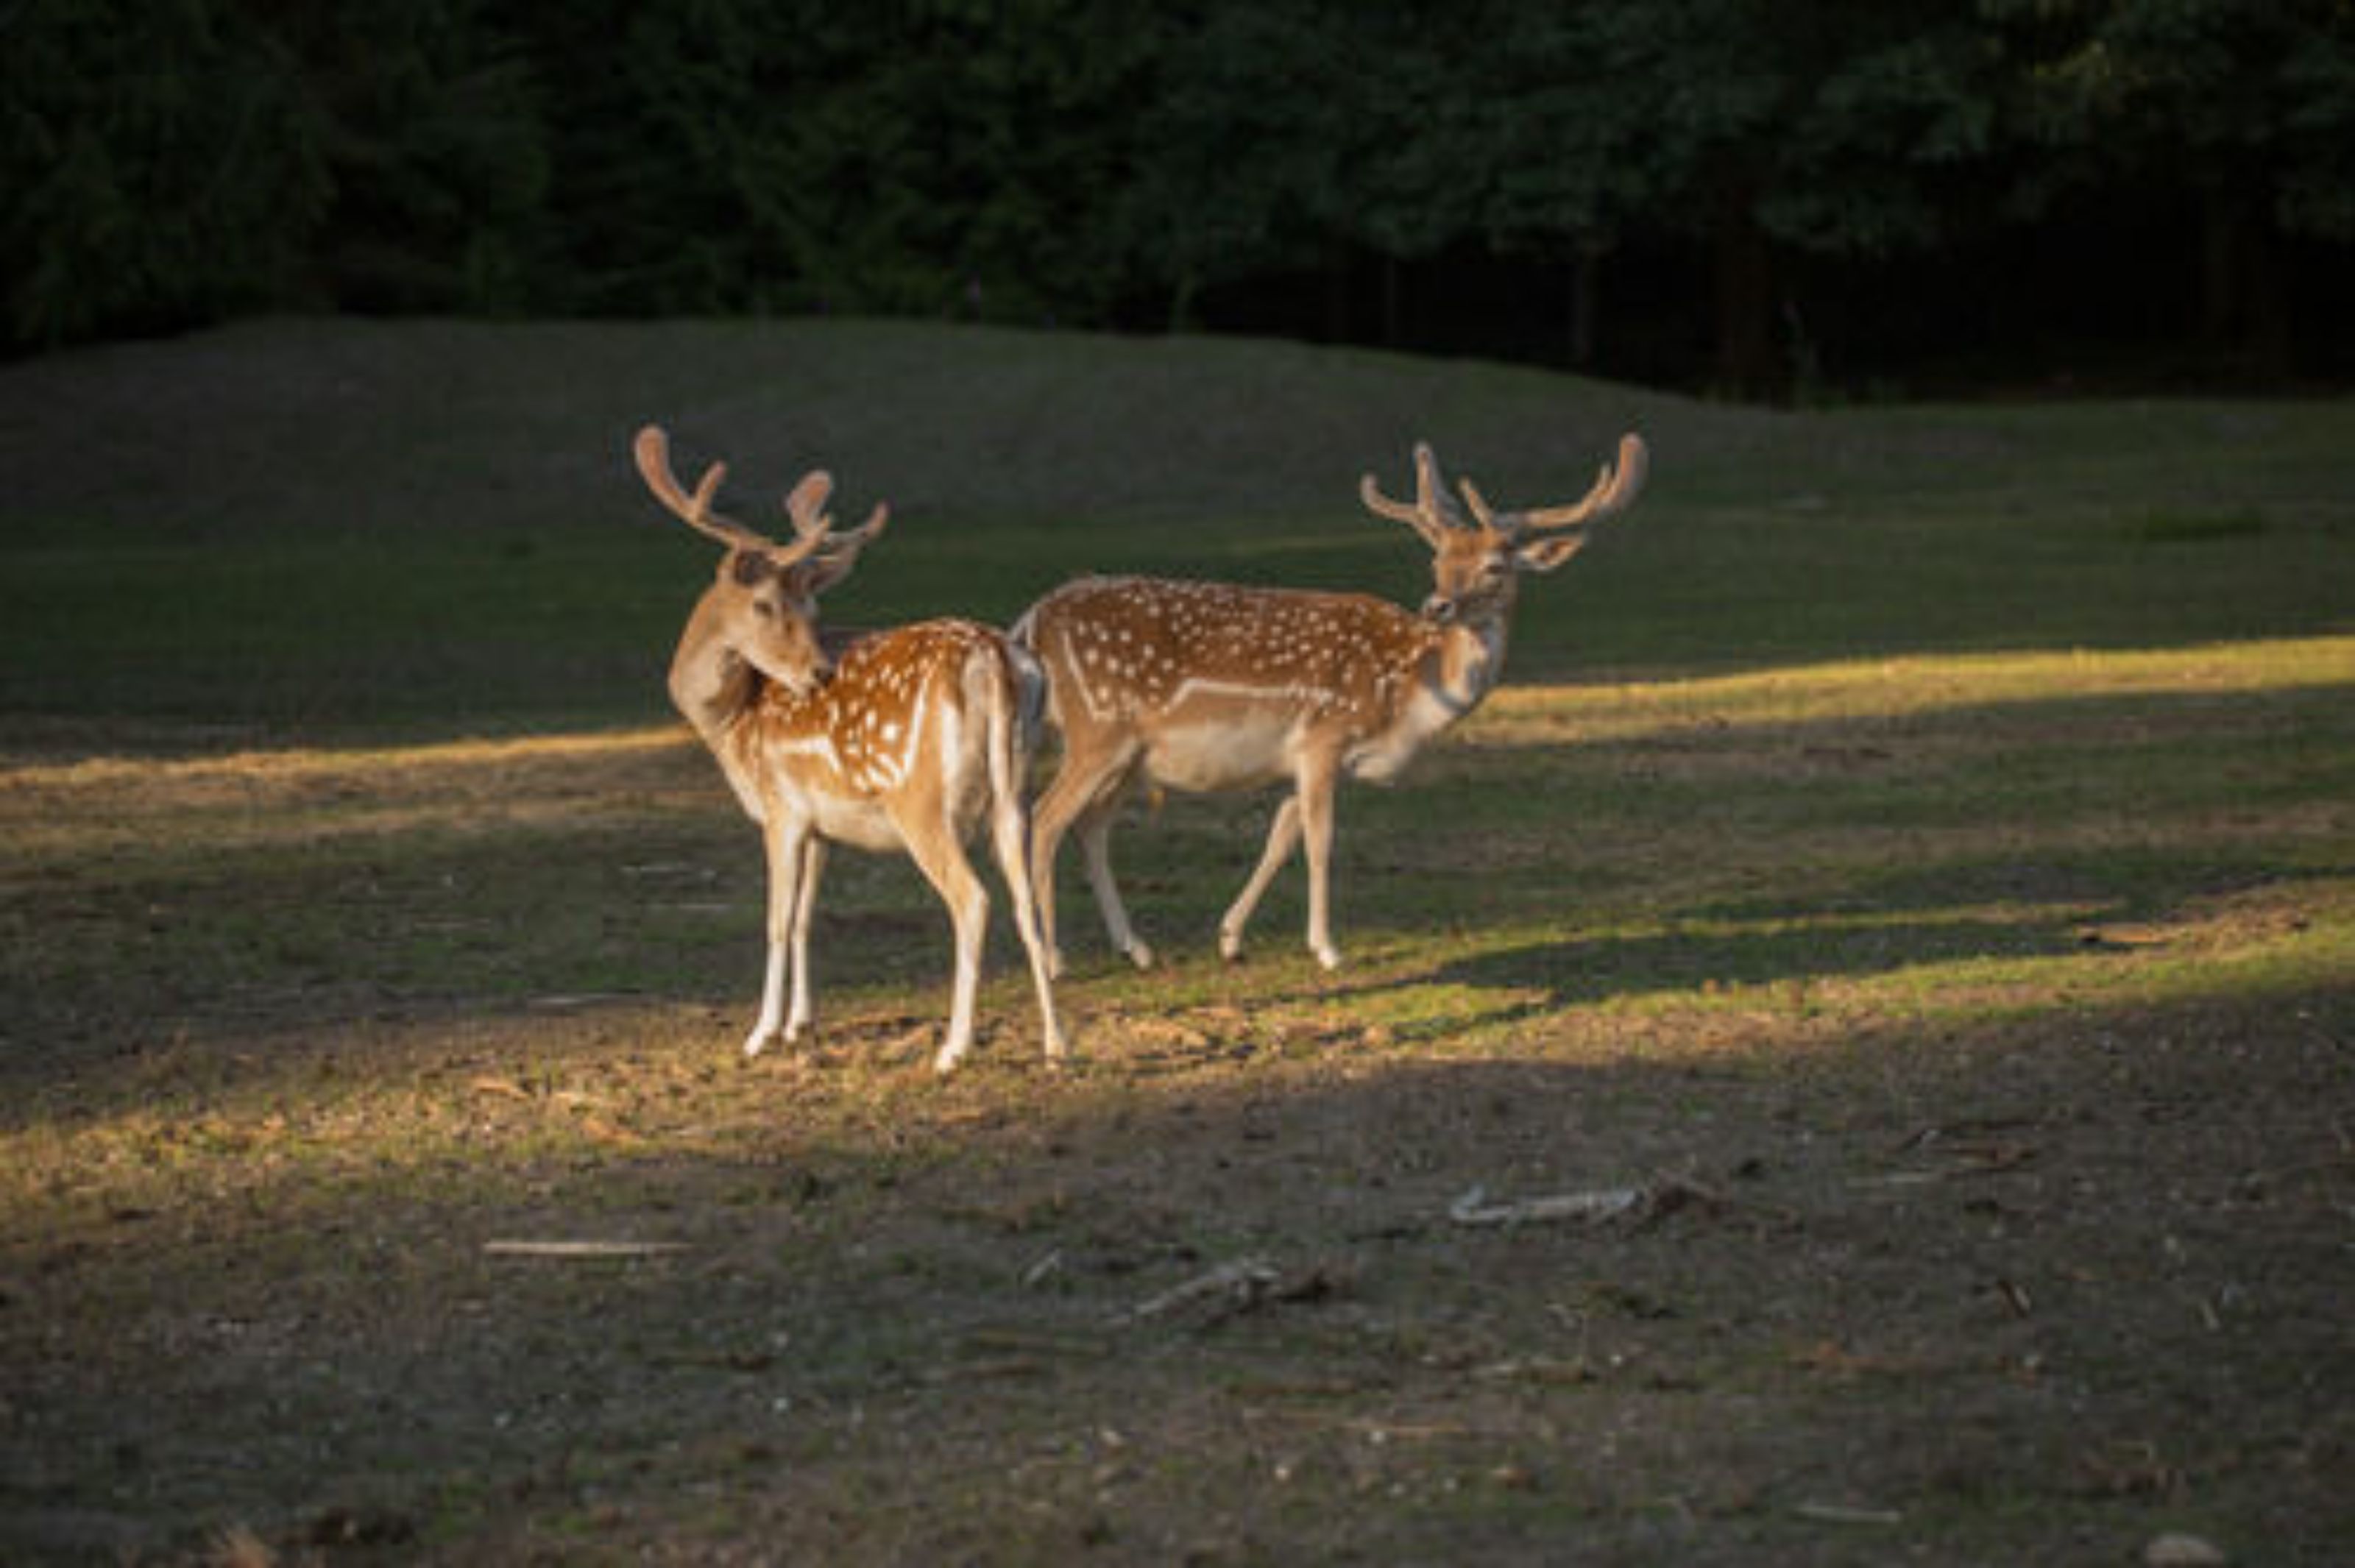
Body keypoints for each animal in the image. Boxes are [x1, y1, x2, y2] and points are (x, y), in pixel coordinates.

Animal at [635, 425, 1065, 1074]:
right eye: (766, 604)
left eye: (811, 606)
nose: (817, 671)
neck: (730, 723)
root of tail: (995, 657)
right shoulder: (821, 824)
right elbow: (806, 918)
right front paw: (799, 1025)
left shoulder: (781, 806)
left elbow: (776, 921)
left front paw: (761, 1034)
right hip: (1014, 790)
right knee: (1026, 893)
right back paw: (1057, 1043)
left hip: (921, 798)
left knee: (972, 899)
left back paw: (953, 1048)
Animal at [1012, 433, 1647, 975]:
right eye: (1437, 559)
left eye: (1495, 566)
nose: (1437, 605)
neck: (1408, 695)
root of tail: (1031, 622)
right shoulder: (1325, 733)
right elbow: (1321, 839)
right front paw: (1327, 948)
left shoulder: (1305, 757)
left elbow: (1282, 834)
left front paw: (1231, 938)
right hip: (1096, 731)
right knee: (1044, 819)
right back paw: (1054, 957)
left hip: (1127, 753)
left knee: (1089, 825)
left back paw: (1136, 948)